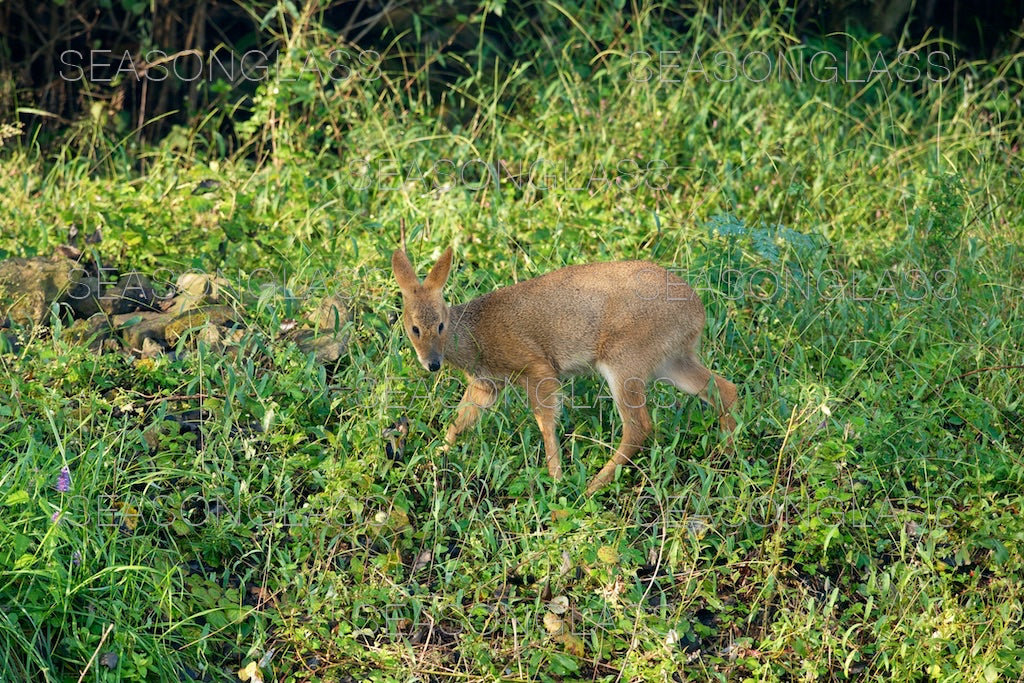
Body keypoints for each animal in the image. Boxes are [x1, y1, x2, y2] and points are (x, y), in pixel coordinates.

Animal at [391, 248, 737, 493]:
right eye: (412, 328)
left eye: (440, 324)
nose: (432, 363)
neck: (475, 334)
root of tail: (698, 311)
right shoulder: (486, 385)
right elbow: (460, 420)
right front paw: (434, 454)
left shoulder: (539, 368)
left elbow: (545, 422)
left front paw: (555, 477)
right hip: (672, 361)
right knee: (725, 389)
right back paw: (726, 453)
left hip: (624, 362)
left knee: (639, 426)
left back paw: (592, 486)